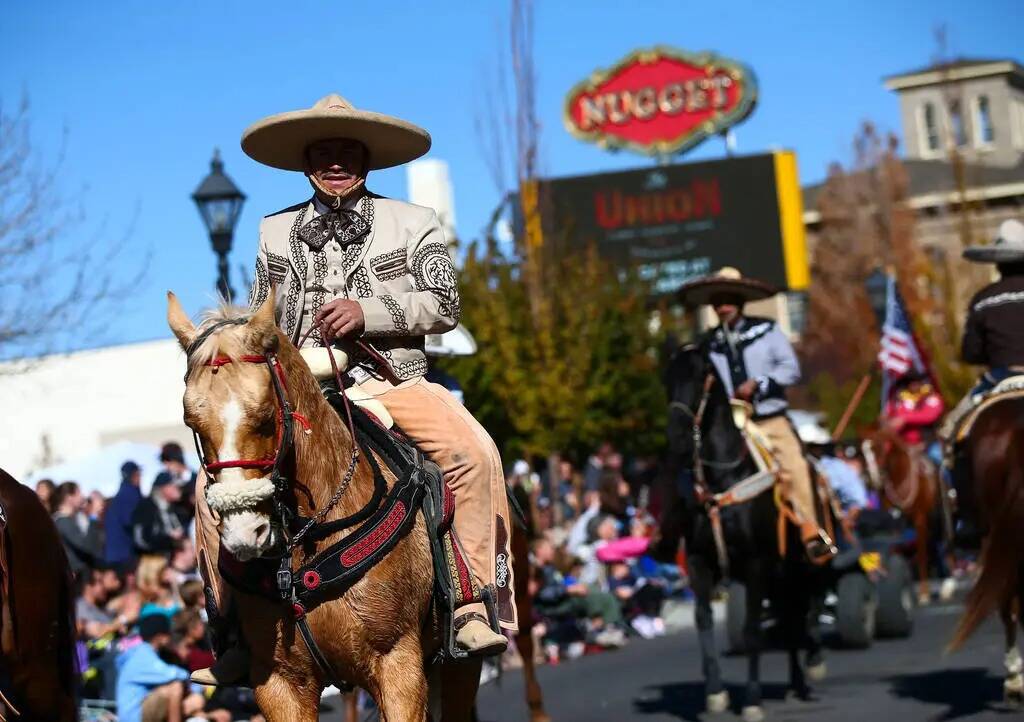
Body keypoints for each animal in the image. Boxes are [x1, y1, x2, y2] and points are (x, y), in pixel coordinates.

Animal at [659, 346, 819, 716]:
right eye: (666, 379)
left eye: (699, 375)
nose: (677, 437)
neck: (723, 481)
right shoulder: (700, 562)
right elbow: (703, 618)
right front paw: (715, 693)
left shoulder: (757, 564)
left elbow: (751, 631)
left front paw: (752, 700)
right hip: (780, 576)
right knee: (790, 619)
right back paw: (794, 683)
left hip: (799, 567)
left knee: (802, 615)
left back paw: (808, 670)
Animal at [864, 426, 950, 606]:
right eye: (862, 452)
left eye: (878, 447)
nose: (871, 480)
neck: (901, 479)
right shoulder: (894, 524)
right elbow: (895, 549)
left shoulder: (920, 519)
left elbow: (922, 554)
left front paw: (924, 594)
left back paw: (948, 585)